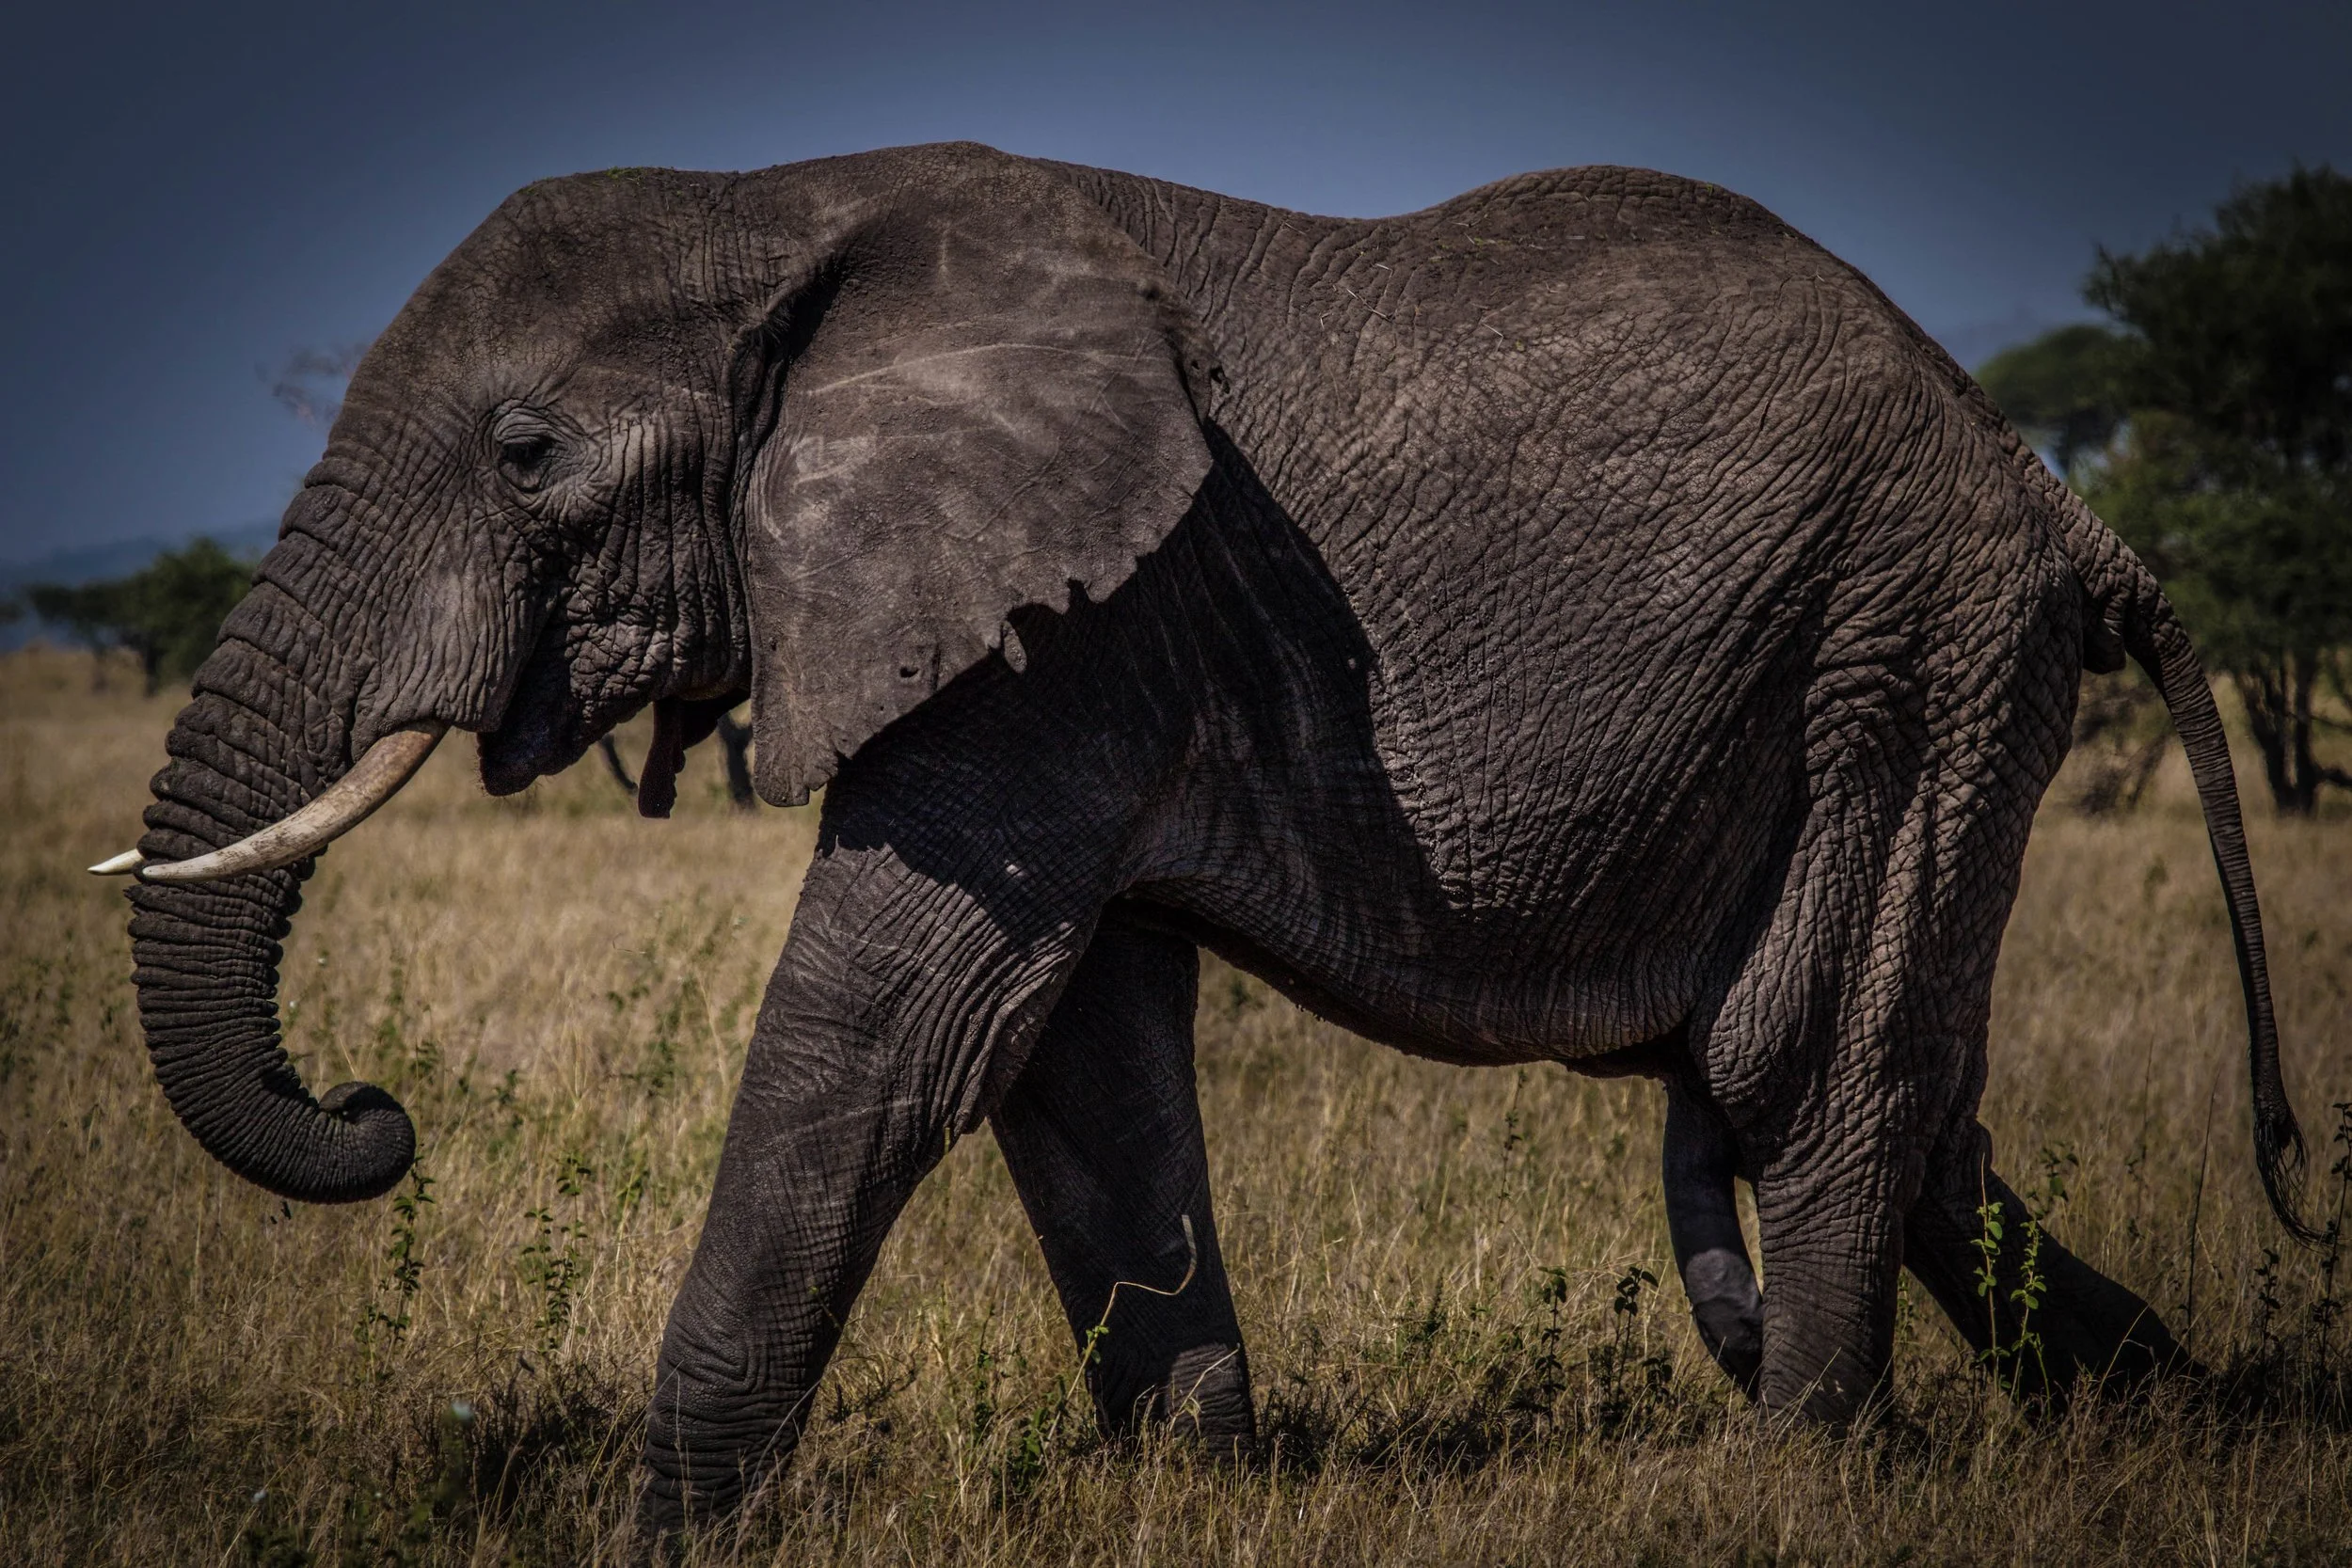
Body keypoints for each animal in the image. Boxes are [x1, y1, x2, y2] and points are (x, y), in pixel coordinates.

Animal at [100, 142, 2314, 1530]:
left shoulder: (1077, 623)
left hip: (1902, 655)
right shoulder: (1077, 642)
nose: (372, 1109)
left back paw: (1797, 1485)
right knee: (1912, 1099)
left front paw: (659, 1536)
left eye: (523, 451)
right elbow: (1075, 1051)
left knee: (1817, 1069)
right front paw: (1195, 1486)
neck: (783, 206)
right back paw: (2185, 1422)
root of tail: (2050, 490)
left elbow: (895, 1024)